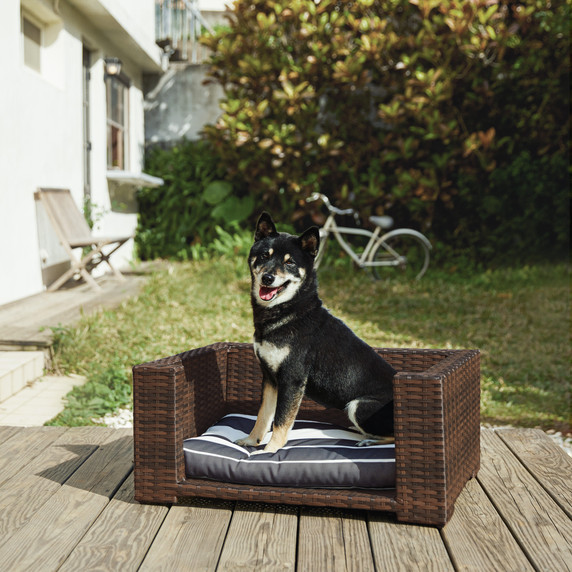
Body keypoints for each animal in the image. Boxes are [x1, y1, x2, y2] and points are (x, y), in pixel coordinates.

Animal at [235, 212, 396, 454]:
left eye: (289, 262)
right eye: (264, 255)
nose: (267, 278)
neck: (290, 311)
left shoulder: (292, 379)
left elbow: (281, 421)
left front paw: (270, 451)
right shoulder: (270, 378)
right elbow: (262, 415)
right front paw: (251, 441)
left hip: (358, 406)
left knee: (398, 436)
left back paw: (370, 440)